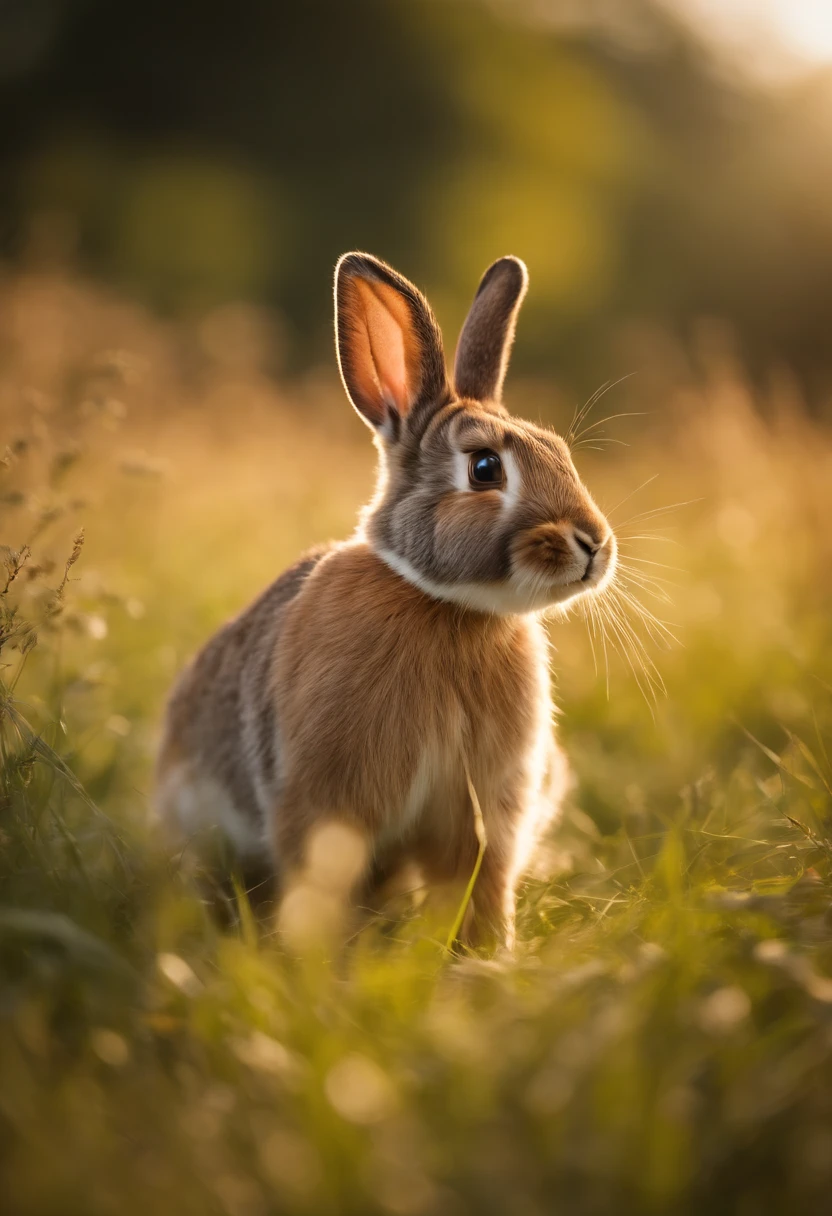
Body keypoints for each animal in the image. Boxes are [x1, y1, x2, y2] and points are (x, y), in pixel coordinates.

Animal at [158, 249, 617, 948]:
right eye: (485, 468)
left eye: (561, 453)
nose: (595, 544)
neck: (450, 608)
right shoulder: (326, 799)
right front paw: (316, 957)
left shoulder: (488, 813)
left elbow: (485, 883)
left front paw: (490, 955)